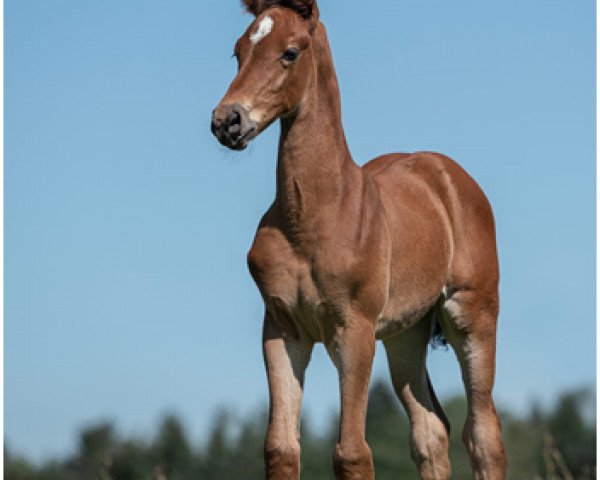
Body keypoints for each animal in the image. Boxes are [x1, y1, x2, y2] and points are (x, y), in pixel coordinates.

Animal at [211, 1, 506, 478]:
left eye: (290, 52)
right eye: (238, 51)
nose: (227, 121)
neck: (312, 218)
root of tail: (449, 175)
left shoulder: (354, 330)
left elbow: (351, 451)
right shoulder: (282, 330)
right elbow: (281, 448)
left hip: (472, 315)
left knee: (483, 435)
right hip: (406, 334)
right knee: (431, 431)